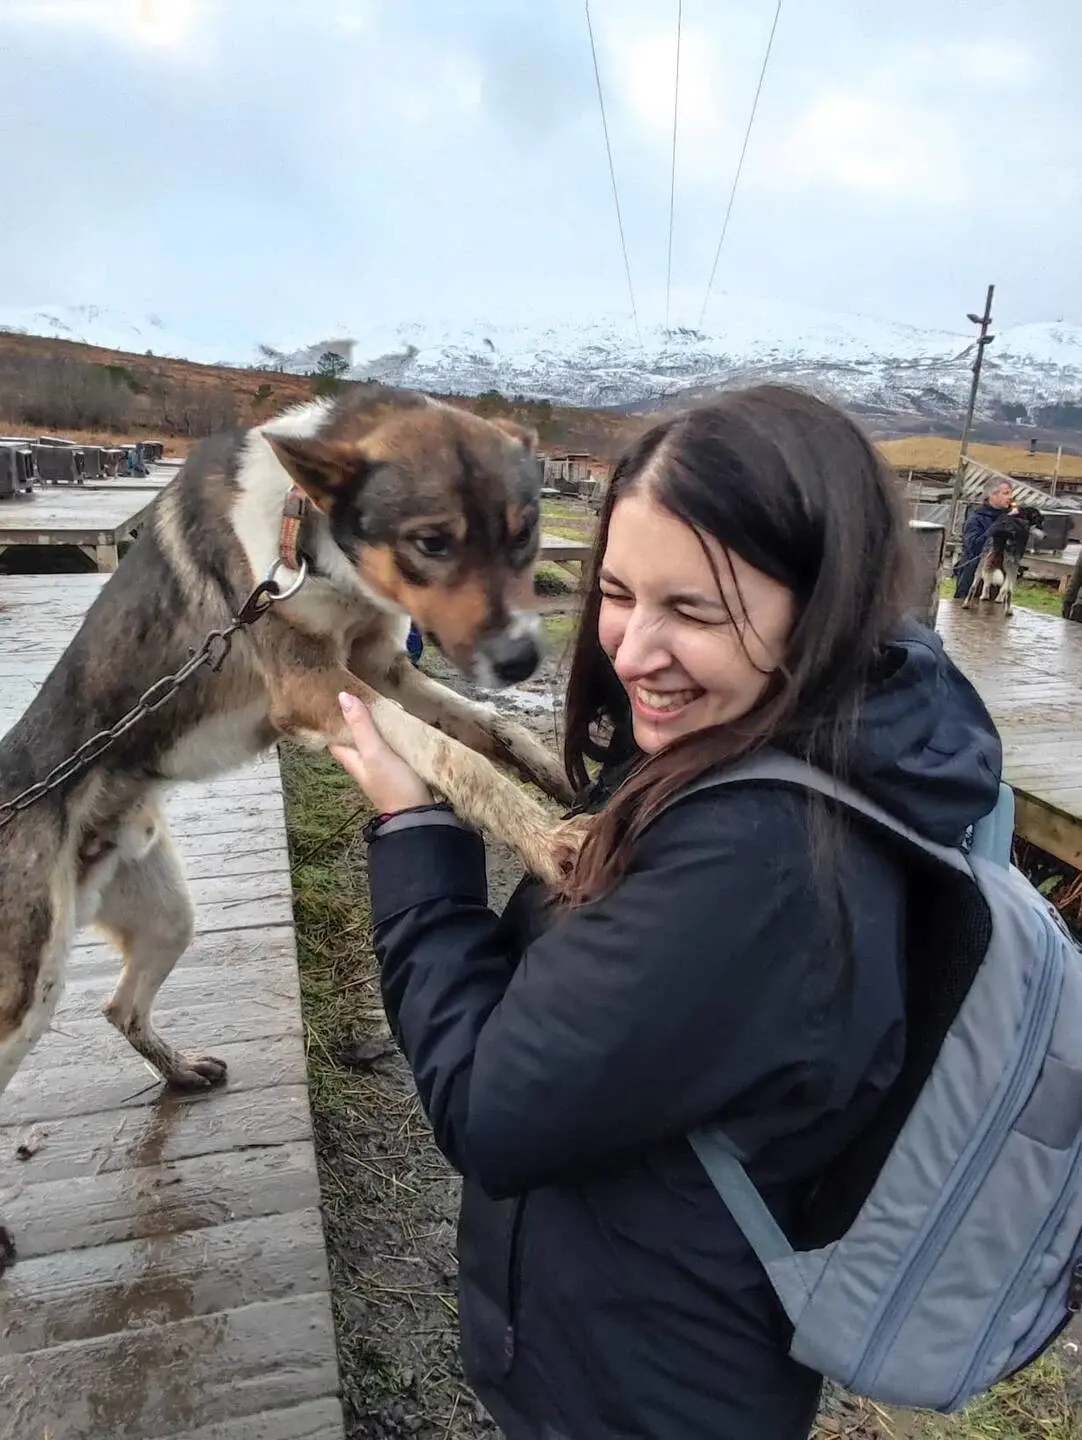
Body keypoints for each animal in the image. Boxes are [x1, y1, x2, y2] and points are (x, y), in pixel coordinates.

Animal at [0, 385, 584, 1272]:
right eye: (433, 541)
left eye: (524, 533)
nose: (522, 660)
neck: (304, 535)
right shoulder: (315, 684)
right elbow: (455, 755)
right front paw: (547, 839)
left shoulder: (381, 665)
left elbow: (489, 730)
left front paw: (556, 779)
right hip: (25, 981)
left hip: (165, 915)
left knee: (120, 1007)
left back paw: (179, 1070)